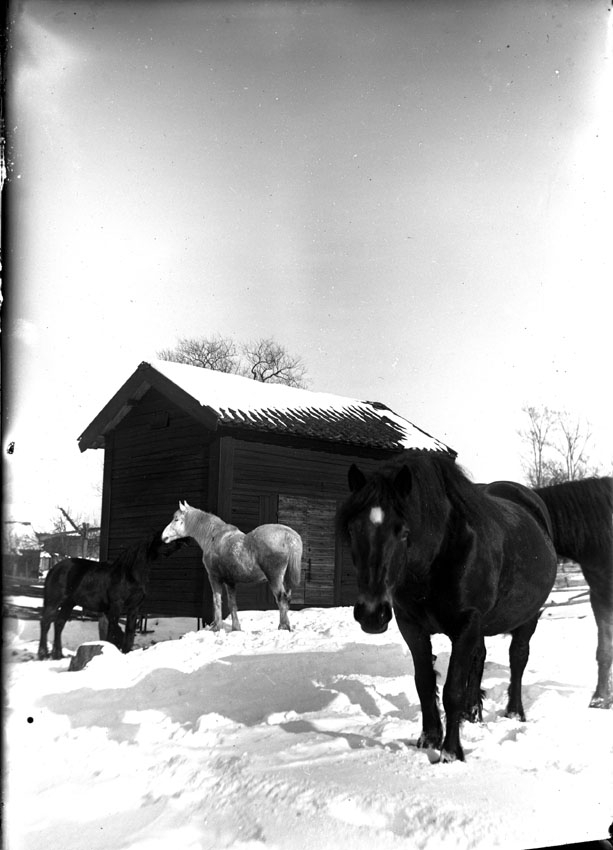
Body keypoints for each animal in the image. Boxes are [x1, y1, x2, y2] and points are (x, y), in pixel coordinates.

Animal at [36, 528, 183, 660]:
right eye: (164, 537)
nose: (179, 544)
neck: (129, 574)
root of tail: (54, 568)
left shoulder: (134, 608)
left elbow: (129, 632)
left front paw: (126, 651)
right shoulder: (115, 607)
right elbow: (112, 631)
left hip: (69, 603)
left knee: (59, 623)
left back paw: (58, 654)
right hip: (54, 602)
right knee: (45, 623)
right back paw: (43, 654)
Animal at [163, 496, 304, 628]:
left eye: (176, 519)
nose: (163, 536)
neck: (213, 537)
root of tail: (289, 535)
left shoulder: (214, 578)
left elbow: (217, 601)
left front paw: (217, 626)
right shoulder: (230, 581)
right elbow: (232, 604)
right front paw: (236, 628)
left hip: (274, 577)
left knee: (282, 599)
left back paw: (283, 626)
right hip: (286, 579)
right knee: (287, 599)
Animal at [338, 450, 556, 760]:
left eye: (403, 531)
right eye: (353, 529)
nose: (371, 614)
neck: (439, 556)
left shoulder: (466, 624)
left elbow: (452, 688)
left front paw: (451, 753)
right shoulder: (412, 626)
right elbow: (424, 682)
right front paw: (429, 738)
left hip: (528, 616)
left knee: (518, 658)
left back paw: (514, 713)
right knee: (480, 658)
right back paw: (472, 713)